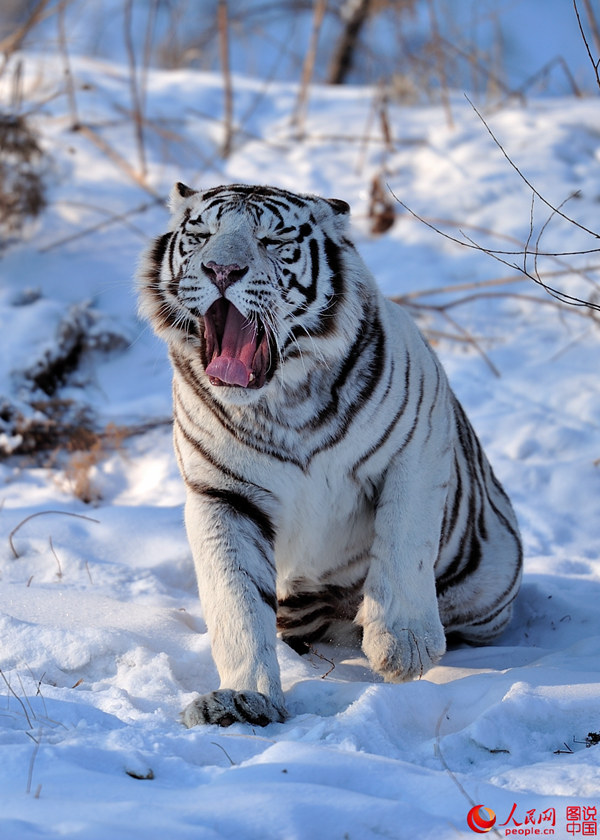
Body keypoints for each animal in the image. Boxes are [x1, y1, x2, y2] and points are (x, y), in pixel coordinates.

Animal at [138, 184, 524, 728]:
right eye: (201, 236)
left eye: (272, 240)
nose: (221, 271)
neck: (282, 402)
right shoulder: (223, 494)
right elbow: (237, 601)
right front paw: (244, 699)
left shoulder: (418, 443)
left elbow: (404, 544)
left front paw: (404, 648)